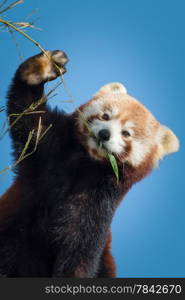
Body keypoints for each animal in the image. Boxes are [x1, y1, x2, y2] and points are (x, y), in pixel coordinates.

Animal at [0, 50, 179, 278]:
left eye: (126, 133)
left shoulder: (94, 209)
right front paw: (40, 68)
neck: (84, 163)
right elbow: (28, 116)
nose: (104, 134)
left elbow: (78, 257)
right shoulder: (49, 151)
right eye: (106, 115)